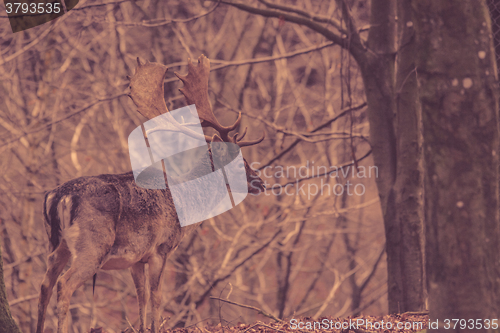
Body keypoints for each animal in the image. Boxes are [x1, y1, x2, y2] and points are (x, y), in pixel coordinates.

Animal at [35, 55, 266, 332]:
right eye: (239, 161)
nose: (260, 182)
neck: (185, 201)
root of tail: (59, 197)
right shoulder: (160, 249)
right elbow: (157, 297)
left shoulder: (137, 259)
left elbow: (141, 297)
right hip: (93, 245)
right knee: (64, 284)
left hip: (57, 244)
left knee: (44, 284)